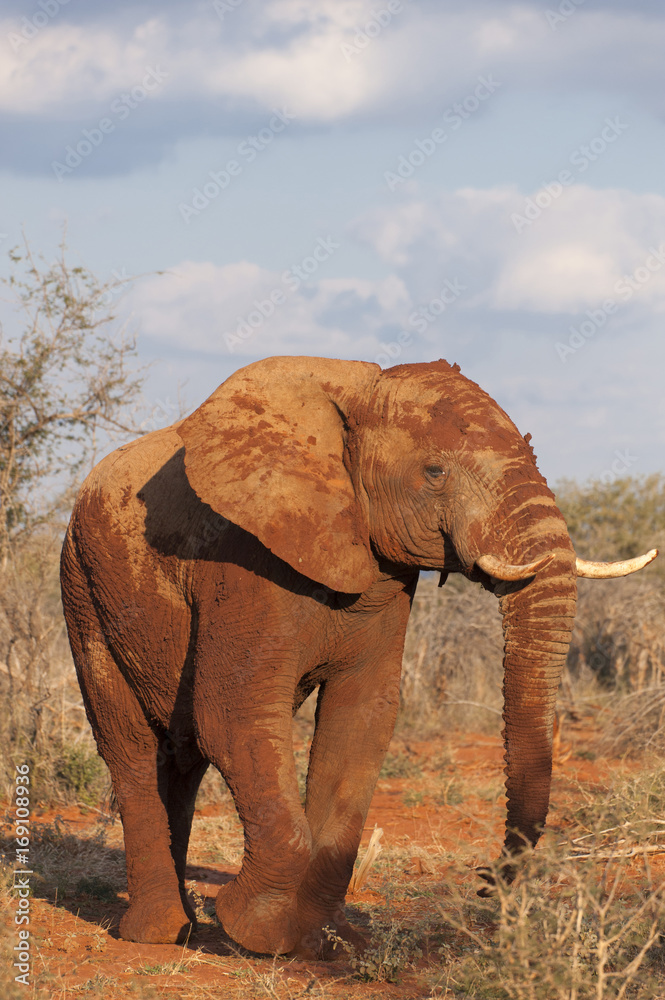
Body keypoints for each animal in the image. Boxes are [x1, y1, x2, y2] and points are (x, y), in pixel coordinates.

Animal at [60, 355, 657, 957]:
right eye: (435, 472)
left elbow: (362, 717)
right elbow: (233, 718)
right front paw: (256, 931)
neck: (359, 389)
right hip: (85, 591)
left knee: (181, 757)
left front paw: (323, 942)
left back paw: (182, 925)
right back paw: (158, 933)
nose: (488, 880)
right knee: (132, 748)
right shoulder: (240, 559)